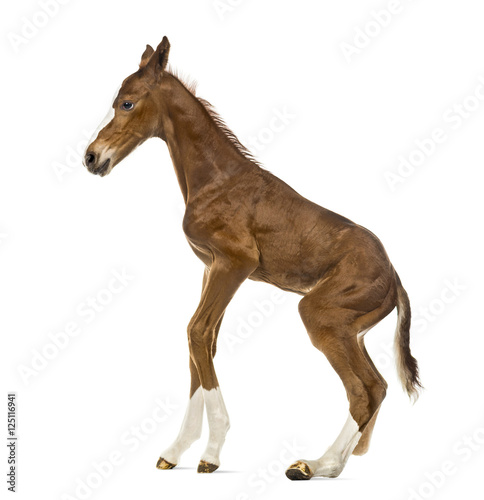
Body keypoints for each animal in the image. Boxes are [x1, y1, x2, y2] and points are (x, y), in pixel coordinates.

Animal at [85, 36, 422, 480]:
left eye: (126, 103)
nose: (91, 157)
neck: (216, 179)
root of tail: (396, 278)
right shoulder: (210, 268)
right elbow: (200, 344)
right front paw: (175, 451)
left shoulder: (235, 263)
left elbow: (197, 332)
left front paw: (211, 452)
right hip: (353, 330)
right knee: (377, 387)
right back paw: (334, 464)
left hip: (320, 316)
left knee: (363, 391)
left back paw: (312, 465)